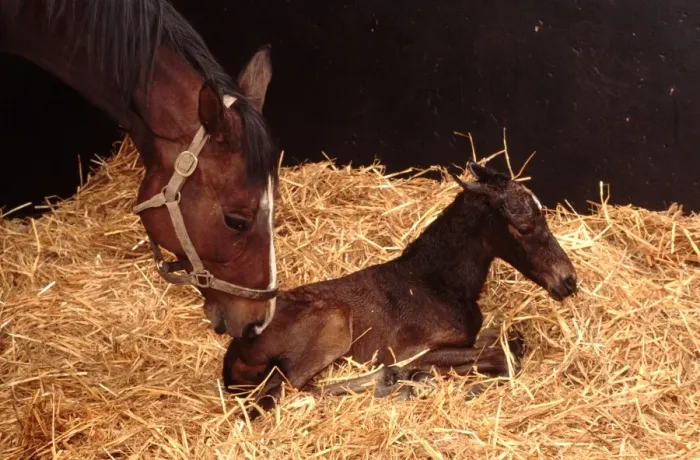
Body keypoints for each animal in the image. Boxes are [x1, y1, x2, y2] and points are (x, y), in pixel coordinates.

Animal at [223, 161, 578, 419]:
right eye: (524, 228)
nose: (569, 281)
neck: (436, 282)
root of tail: (236, 348)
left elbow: (508, 342)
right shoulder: (416, 349)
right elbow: (503, 358)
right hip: (333, 325)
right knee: (285, 393)